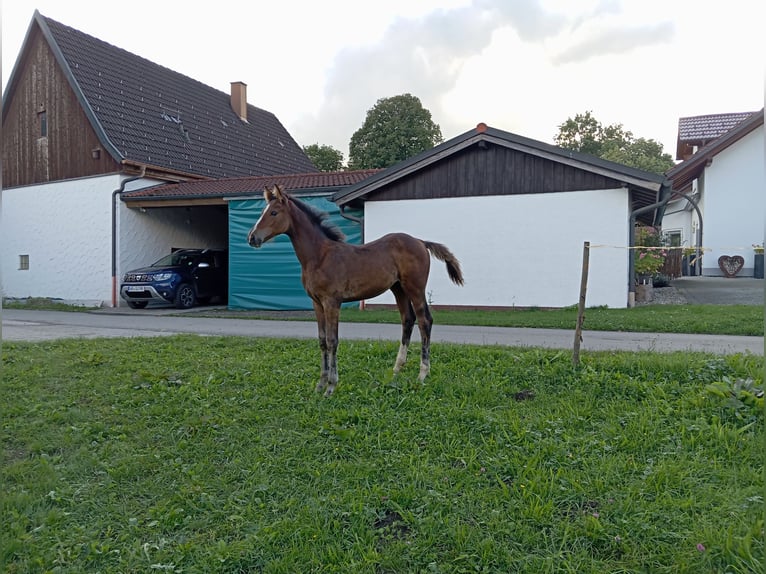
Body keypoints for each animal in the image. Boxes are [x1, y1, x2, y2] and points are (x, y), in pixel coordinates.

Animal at [249, 184, 464, 396]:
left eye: (274, 212)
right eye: (262, 212)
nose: (252, 238)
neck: (319, 256)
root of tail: (420, 241)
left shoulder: (332, 302)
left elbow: (332, 340)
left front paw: (331, 386)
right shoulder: (317, 303)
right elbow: (322, 340)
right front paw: (320, 384)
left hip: (415, 288)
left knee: (424, 320)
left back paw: (422, 375)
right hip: (398, 289)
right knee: (408, 319)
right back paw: (396, 371)